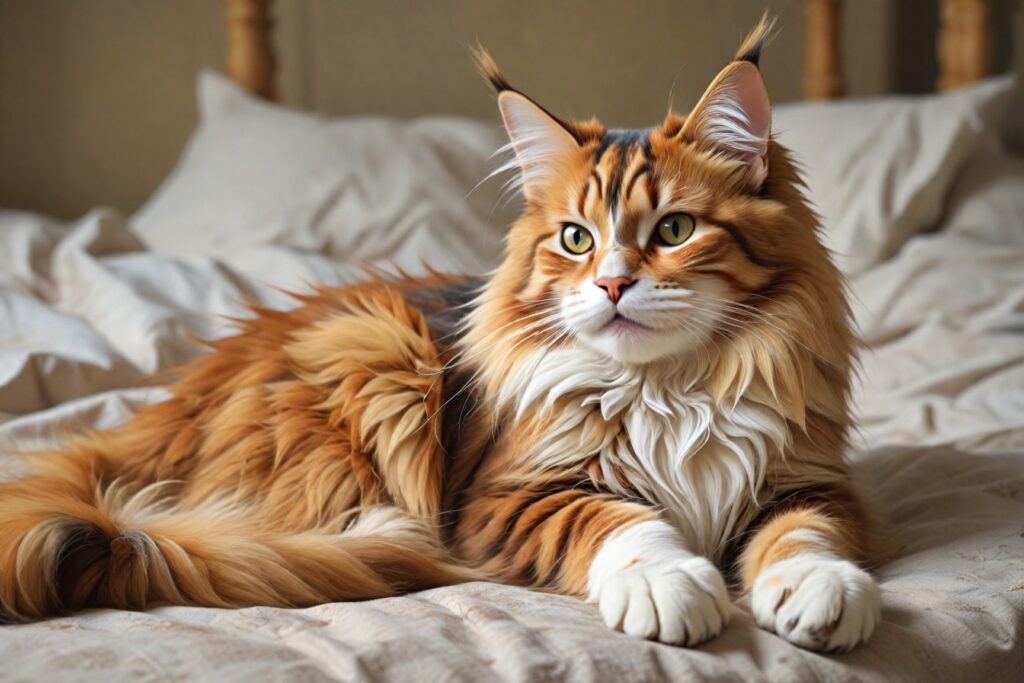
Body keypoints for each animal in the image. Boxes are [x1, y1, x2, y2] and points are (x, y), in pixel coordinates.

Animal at [0, 18, 880, 655]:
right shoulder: (507, 496)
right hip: (379, 353)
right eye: (575, 239)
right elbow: (621, 518)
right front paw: (672, 583)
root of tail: (165, 408)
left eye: (673, 229)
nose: (612, 284)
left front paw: (820, 593)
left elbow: (809, 534)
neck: (670, 390)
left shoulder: (807, 476)